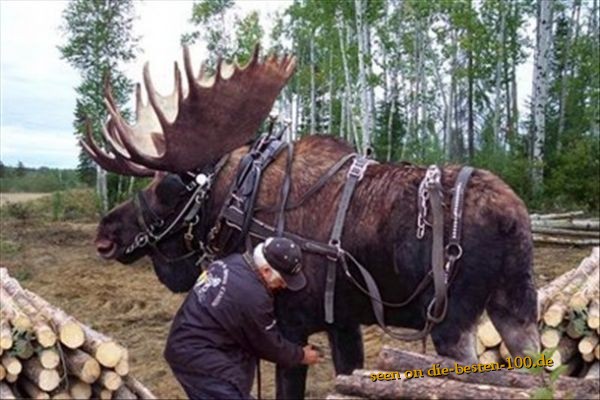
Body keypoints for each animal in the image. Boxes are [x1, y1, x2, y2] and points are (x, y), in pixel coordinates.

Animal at [84, 46, 540, 396]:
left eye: (166, 188)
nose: (105, 234)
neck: (238, 203)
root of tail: (513, 217)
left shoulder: (291, 324)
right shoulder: (342, 323)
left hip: (452, 320)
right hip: (515, 303)